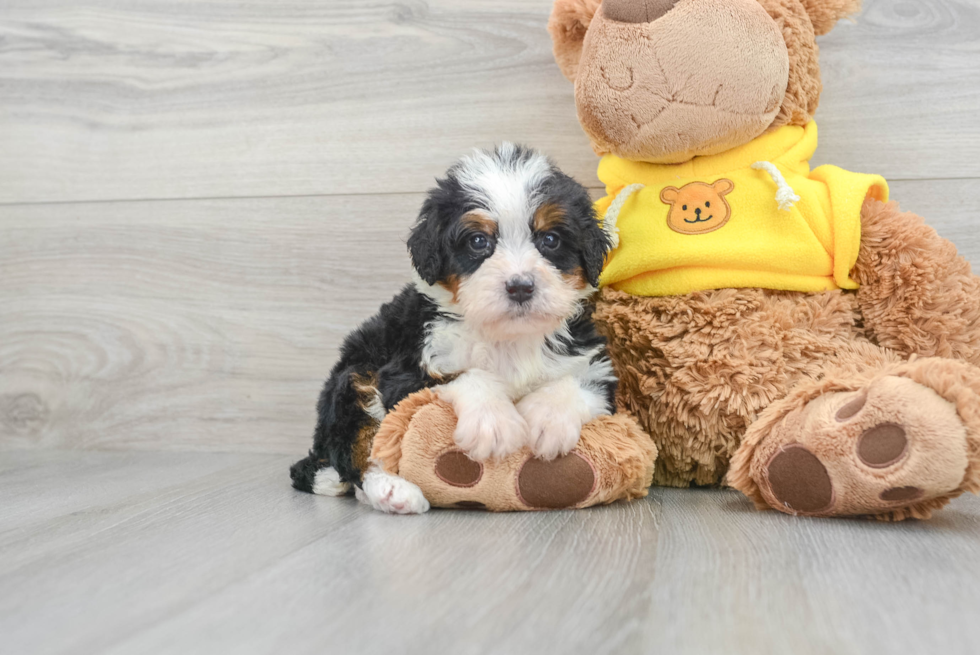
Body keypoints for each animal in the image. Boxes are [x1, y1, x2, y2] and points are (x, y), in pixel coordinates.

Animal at [288, 146, 616, 516]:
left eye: (550, 239)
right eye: (478, 241)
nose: (520, 286)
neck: (508, 338)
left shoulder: (595, 365)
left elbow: (576, 382)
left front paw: (548, 419)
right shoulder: (405, 369)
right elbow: (463, 375)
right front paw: (493, 422)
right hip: (354, 379)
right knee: (359, 455)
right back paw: (392, 490)